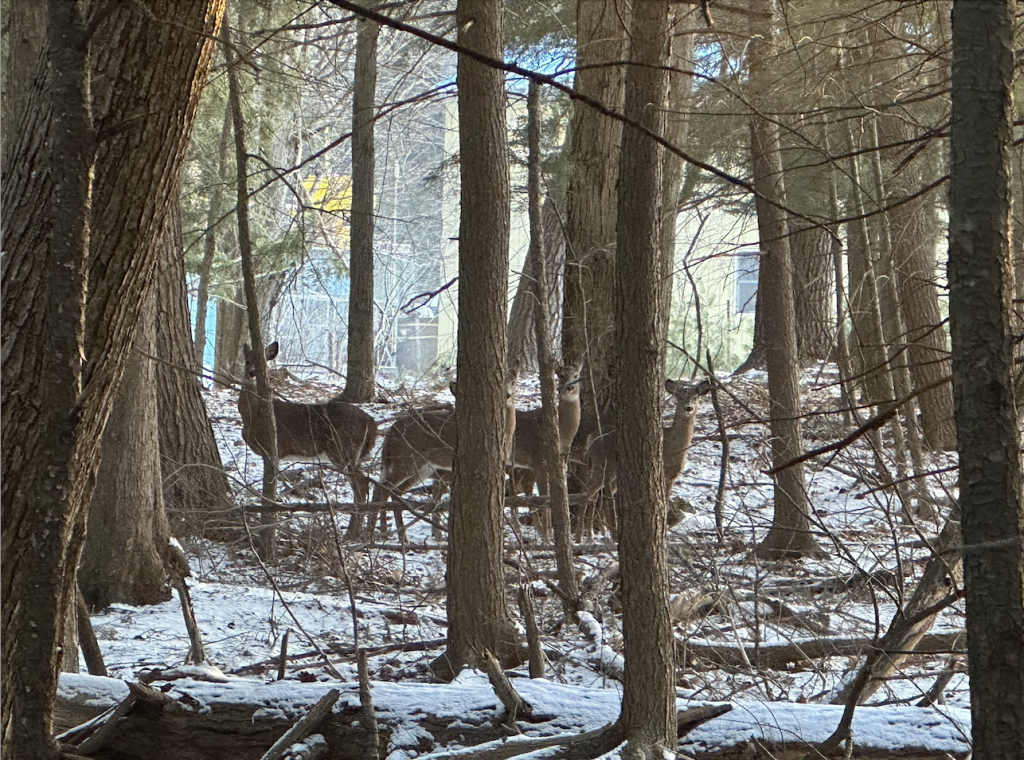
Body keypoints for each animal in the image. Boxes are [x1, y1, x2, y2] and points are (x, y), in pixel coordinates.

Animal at [238, 342, 378, 504]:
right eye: (247, 361)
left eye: (263, 365)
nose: (252, 373)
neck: (252, 414)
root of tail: (371, 421)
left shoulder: (272, 448)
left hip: (343, 449)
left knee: (361, 482)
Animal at [508, 361, 584, 539]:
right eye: (561, 375)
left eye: (576, 375)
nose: (569, 388)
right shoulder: (538, 461)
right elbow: (544, 496)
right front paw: (547, 535)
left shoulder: (561, 464)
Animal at [582, 377, 712, 538]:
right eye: (679, 396)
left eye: (696, 397)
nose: (688, 408)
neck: (674, 447)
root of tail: (591, 446)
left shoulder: (671, 478)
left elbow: (666, 504)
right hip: (604, 465)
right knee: (590, 493)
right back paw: (586, 534)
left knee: (597, 494)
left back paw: (600, 532)